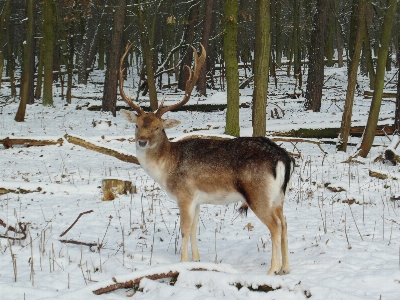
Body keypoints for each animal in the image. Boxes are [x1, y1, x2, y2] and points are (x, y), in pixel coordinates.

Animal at [118, 43, 294, 276]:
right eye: (137, 125)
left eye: (158, 127)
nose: (142, 141)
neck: (166, 168)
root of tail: (284, 157)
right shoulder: (197, 199)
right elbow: (194, 228)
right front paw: (197, 260)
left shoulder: (184, 194)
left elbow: (184, 229)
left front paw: (182, 263)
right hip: (278, 197)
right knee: (285, 222)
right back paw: (286, 268)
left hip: (258, 194)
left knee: (275, 226)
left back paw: (272, 270)